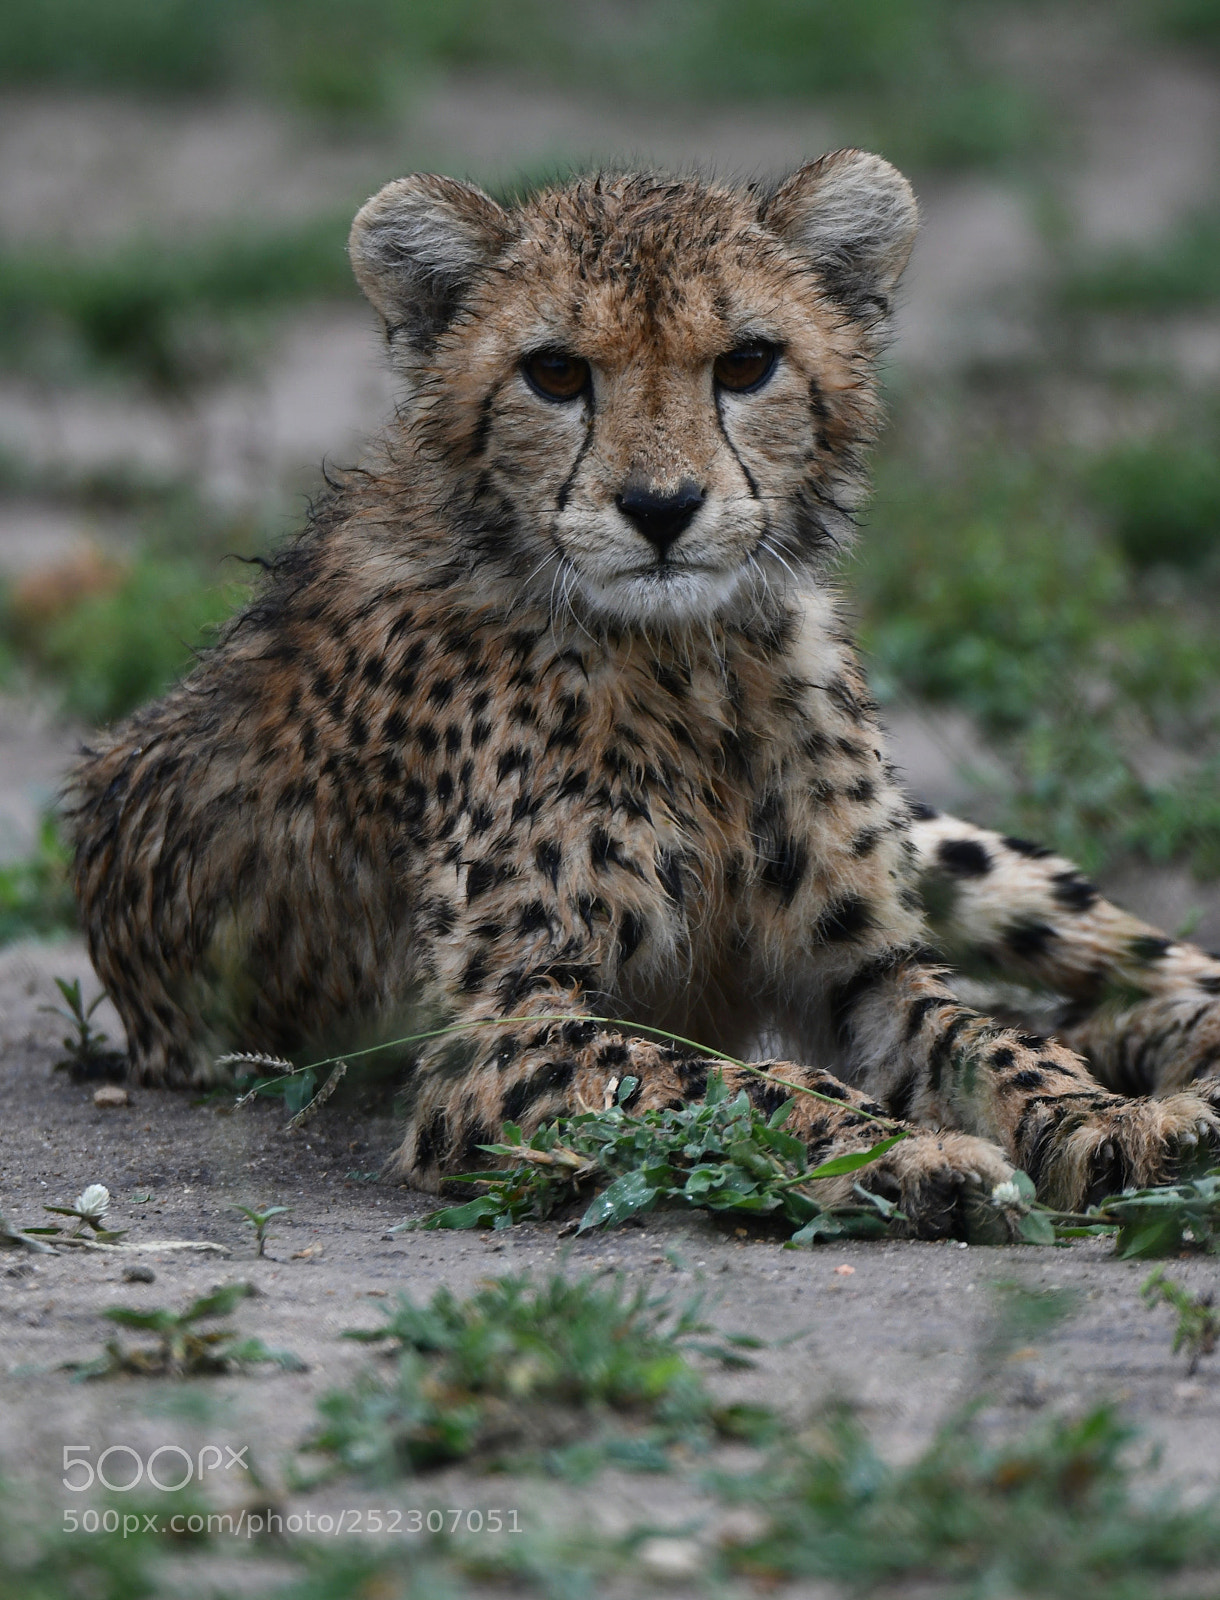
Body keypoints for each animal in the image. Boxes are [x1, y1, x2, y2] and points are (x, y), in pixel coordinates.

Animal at [68, 152, 1220, 1238]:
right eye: (554, 371)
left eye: (747, 363)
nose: (661, 508)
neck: (691, 661)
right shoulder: (501, 1037)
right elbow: (730, 1078)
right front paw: (902, 1153)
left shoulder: (868, 966)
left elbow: (991, 1037)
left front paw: (1103, 1121)